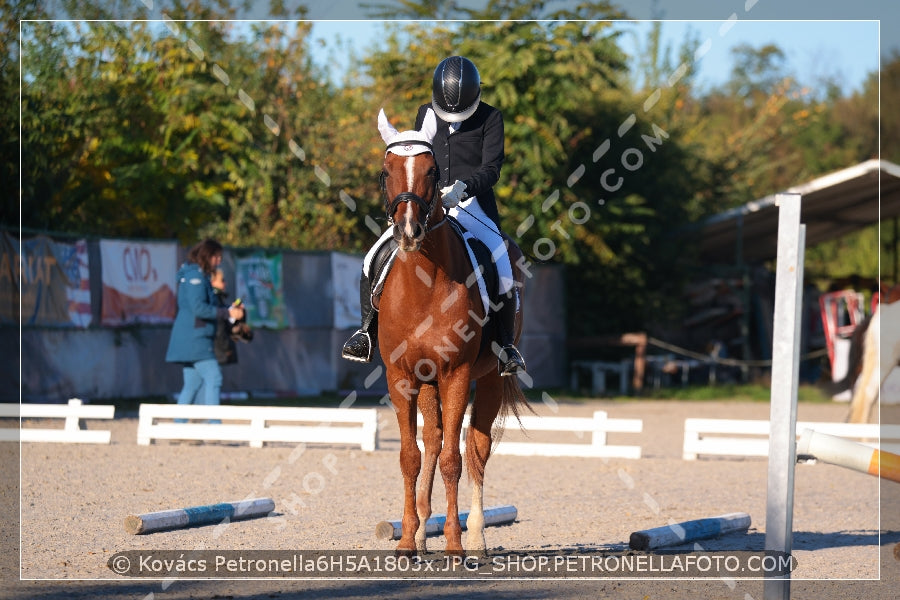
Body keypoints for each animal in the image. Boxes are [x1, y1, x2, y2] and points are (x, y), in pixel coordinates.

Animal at [376, 109, 532, 556]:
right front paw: (407, 542)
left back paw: (475, 537)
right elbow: (411, 456)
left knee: (477, 447)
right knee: (433, 440)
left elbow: (454, 460)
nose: (408, 232)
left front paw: (454, 545)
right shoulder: (402, 377)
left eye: (433, 171)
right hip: (427, 382)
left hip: (489, 378)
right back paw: (421, 530)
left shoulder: (456, 375)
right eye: (386, 171)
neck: (423, 287)